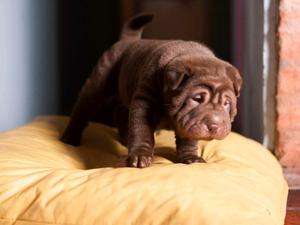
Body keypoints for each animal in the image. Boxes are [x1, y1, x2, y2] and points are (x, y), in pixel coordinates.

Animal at [61, 12, 241, 167]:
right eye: (197, 99)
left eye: (226, 104)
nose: (214, 126)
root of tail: (129, 40)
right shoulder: (145, 102)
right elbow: (142, 131)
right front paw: (140, 156)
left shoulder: (188, 122)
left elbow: (188, 139)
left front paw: (191, 157)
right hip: (99, 81)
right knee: (83, 108)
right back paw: (70, 137)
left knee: (120, 112)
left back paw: (125, 138)